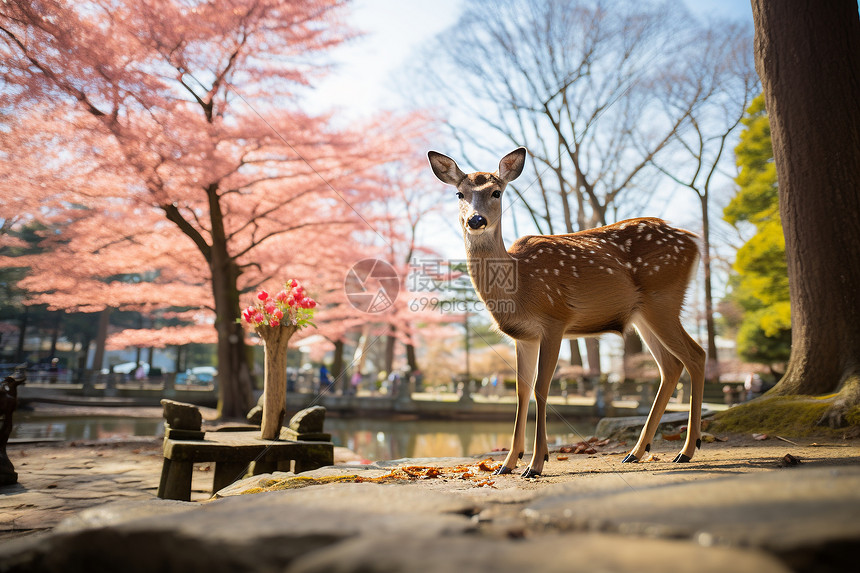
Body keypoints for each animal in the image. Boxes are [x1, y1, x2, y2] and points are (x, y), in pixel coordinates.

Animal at [430, 146, 704, 474]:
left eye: (497, 192)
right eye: (459, 193)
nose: (475, 220)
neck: (519, 286)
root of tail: (694, 242)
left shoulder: (554, 320)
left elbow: (541, 387)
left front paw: (536, 464)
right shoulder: (523, 336)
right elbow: (521, 391)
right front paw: (507, 463)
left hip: (663, 299)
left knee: (696, 355)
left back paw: (687, 450)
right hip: (642, 314)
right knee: (671, 366)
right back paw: (636, 452)